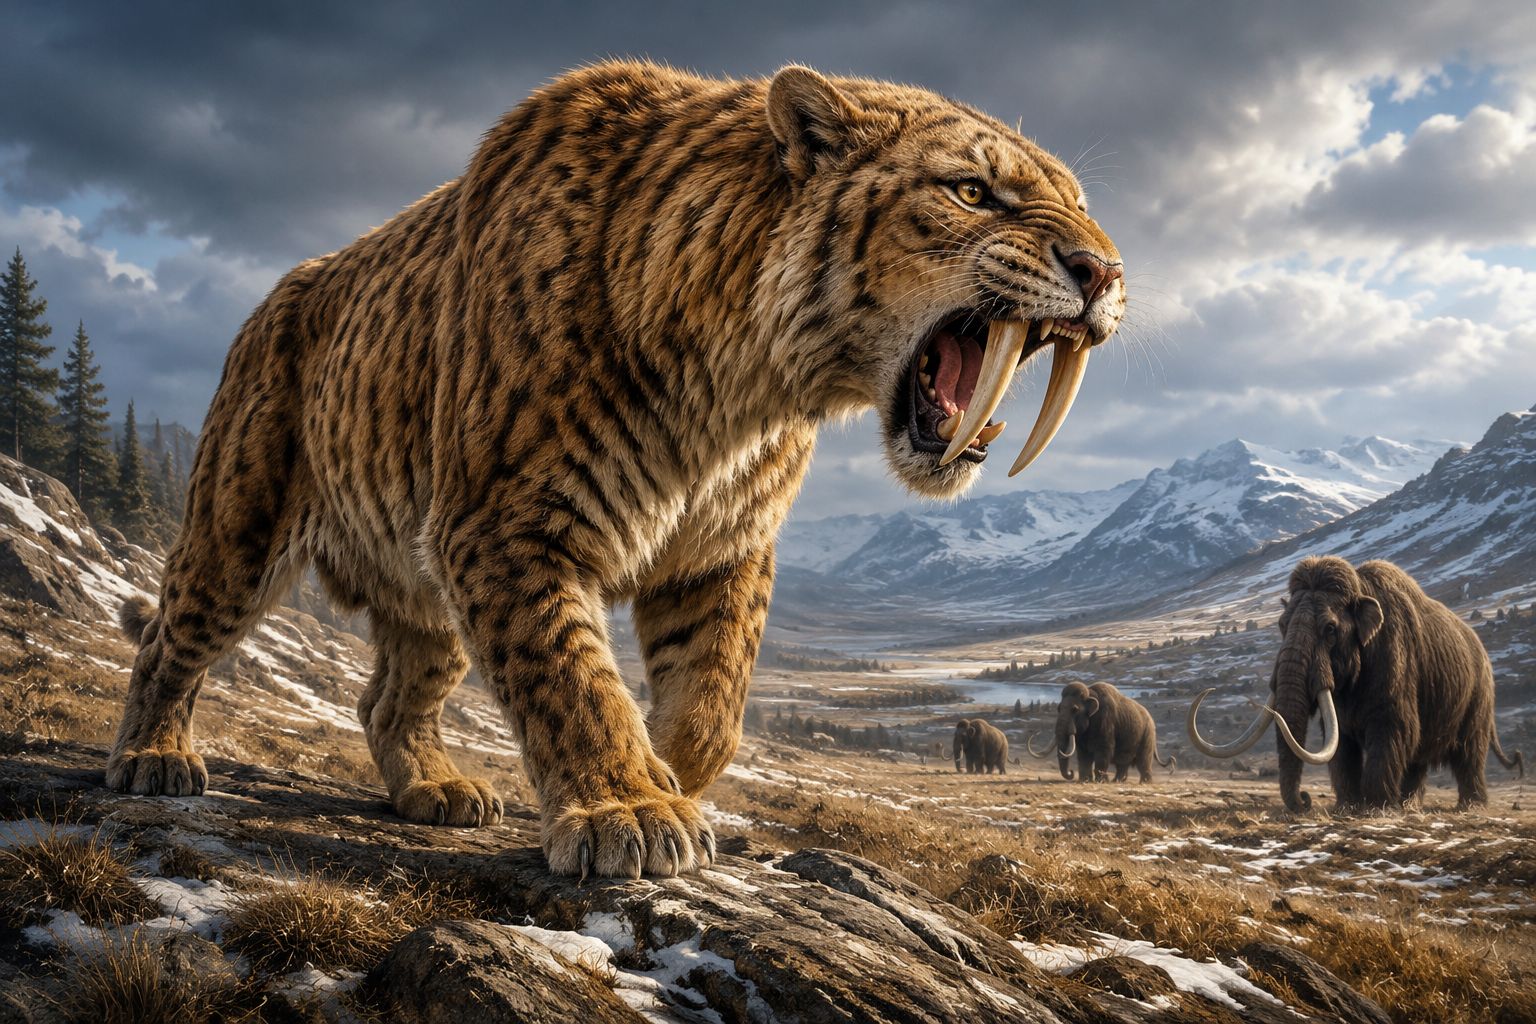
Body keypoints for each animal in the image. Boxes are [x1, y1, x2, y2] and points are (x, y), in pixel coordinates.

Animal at [106, 60, 1125, 878]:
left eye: (1081, 204)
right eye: (973, 191)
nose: (1105, 272)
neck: (741, 391)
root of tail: (275, 296)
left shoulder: (720, 548)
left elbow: (712, 701)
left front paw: (670, 774)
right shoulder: (507, 524)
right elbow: (569, 677)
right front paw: (626, 810)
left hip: (423, 592)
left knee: (388, 697)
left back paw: (435, 790)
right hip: (238, 529)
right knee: (172, 640)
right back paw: (153, 759)